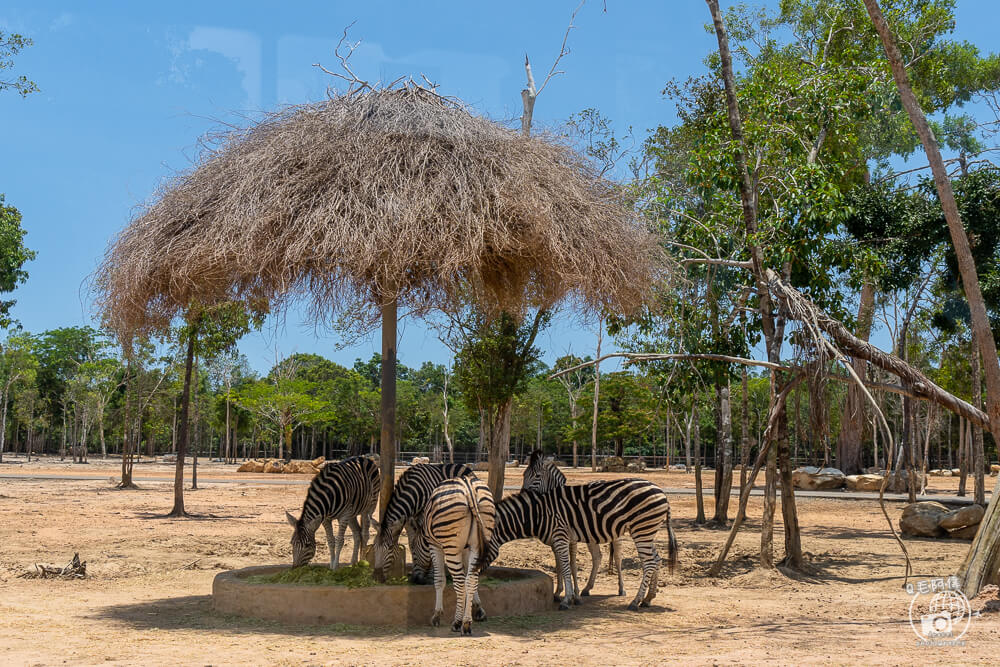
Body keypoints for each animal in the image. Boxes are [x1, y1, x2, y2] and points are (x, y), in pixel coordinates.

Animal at [422, 478, 496, 636]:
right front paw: (476, 607)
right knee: (471, 580)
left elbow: (439, 579)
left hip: (451, 547)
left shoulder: (434, 545)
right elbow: (471, 579)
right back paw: (466, 622)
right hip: (478, 543)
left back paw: (458, 623)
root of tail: (469, 488)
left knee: (460, 582)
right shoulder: (468, 549)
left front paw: (437, 615)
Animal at [486, 480, 680, 612]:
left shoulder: (560, 536)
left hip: (642, 529)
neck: (537, 514)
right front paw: (572, 596)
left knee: (649, 563)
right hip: (647, 531)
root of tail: (662, 493)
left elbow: (565, 566)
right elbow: (565, 566)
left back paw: (635, 601)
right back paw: (648, 598)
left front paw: (567, 600)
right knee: (657, 560)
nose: (481, 575)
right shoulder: (562, 539)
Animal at [520, 452, 620, 596]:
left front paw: (574, 593)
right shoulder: (555, 541)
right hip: (593, 536)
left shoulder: (571, 540)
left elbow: (572, 564)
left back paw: (621, 589)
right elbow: (559, 564)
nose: (522, 497)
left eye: (537, 476)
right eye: (524, 474)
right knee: (597, 557)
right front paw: (558, 592)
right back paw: (587, 588)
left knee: (617, 556)